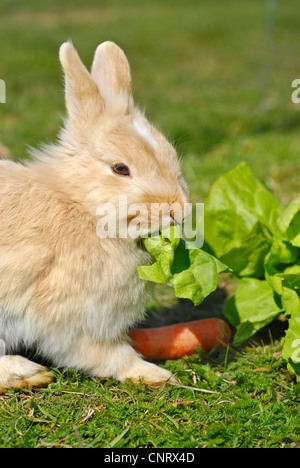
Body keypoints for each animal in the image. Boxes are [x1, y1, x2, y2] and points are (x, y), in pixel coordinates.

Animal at [0, 40, 189, 392]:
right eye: (120, 168)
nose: (178, 212)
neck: (81, 206)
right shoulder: (76, 322)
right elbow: (108, 356)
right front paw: (158, 375)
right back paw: (27, 373)